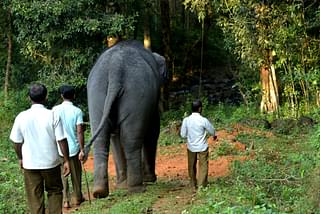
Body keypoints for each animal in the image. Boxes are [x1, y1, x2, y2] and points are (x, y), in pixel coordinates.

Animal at [85, 39, 168, 198]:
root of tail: (115, 69)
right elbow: (153, 130)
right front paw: (151, 179)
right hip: (136, 93)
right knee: (131, 139)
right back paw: (137, 188)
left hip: (96, 93)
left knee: (102, 139)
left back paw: (101, 191)